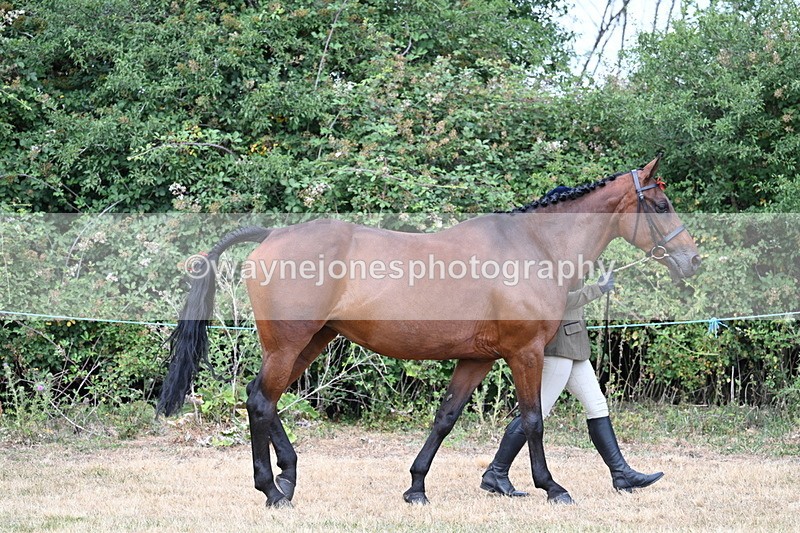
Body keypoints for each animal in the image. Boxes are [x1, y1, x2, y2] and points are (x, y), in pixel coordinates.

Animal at [157, 155, 701, 507]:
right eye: (660, 205)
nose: (692, 260)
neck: (535, 247)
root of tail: (273, 234)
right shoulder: (525, 352)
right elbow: (532, 420)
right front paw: (552, 487)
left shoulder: (478, 358)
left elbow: (446, 418)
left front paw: (417, 487)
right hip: (288, 344)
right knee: (260, 402)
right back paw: (272, 490)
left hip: (311, 343)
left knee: (263, 401)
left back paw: (286, 480)